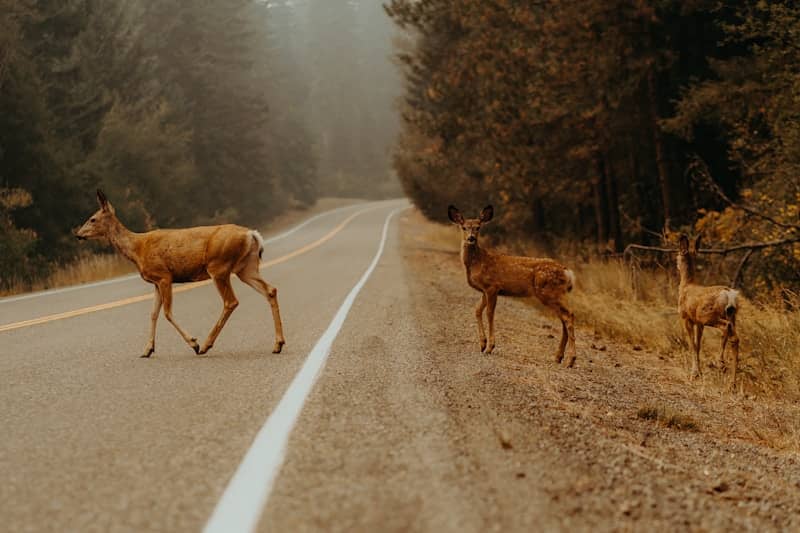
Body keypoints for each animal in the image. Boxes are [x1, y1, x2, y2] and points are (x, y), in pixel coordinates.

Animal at [76, 190, 285, 358]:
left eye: (92, 218)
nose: (78, 234)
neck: (138, 249)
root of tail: (252, 234)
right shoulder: (155, 282)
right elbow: (153, 314)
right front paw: (147, 350)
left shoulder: (164, 276)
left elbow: (167, 313)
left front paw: (194, 343)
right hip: (245, 267)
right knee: (270, 290)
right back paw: (278, 344)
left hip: (219, 266)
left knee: (231, 301)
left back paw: (206, 345)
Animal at [447, 205, 577, 366]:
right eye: (464, 227)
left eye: (478, 227)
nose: (471, 238)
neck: (477, 262)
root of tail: (567, 272)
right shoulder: (484, 290)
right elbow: (477, 310)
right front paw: (482, 344)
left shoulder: (492, 287)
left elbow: (489, 313)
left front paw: (490, 347)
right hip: (555, 294)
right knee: (565, 317)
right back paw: (558, 357)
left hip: (549, 292)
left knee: (568, 315)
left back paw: (570, 360)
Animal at [677, 234, 740, 388]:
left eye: (677, 256)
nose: (677, 265)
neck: (686, 285)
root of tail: (728, 294)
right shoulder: (699, 323)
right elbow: (698, 345)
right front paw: (698, 372)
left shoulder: (687, 318)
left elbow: (693, 345)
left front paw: (694, 374)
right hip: (732, 315)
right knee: (735, 338)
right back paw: (732, 383)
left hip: (708, 315)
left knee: (725, 327)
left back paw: (721, 363)